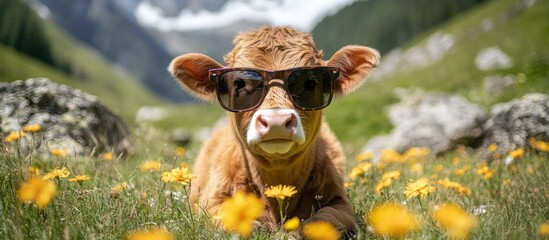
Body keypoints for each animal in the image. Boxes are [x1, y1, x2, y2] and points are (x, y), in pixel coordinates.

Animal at [169, 25, 378, 234]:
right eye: (239, 83)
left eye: (310, 83)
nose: (276, 121)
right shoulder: (211, 204)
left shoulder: (341, 205)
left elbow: (322, 220)